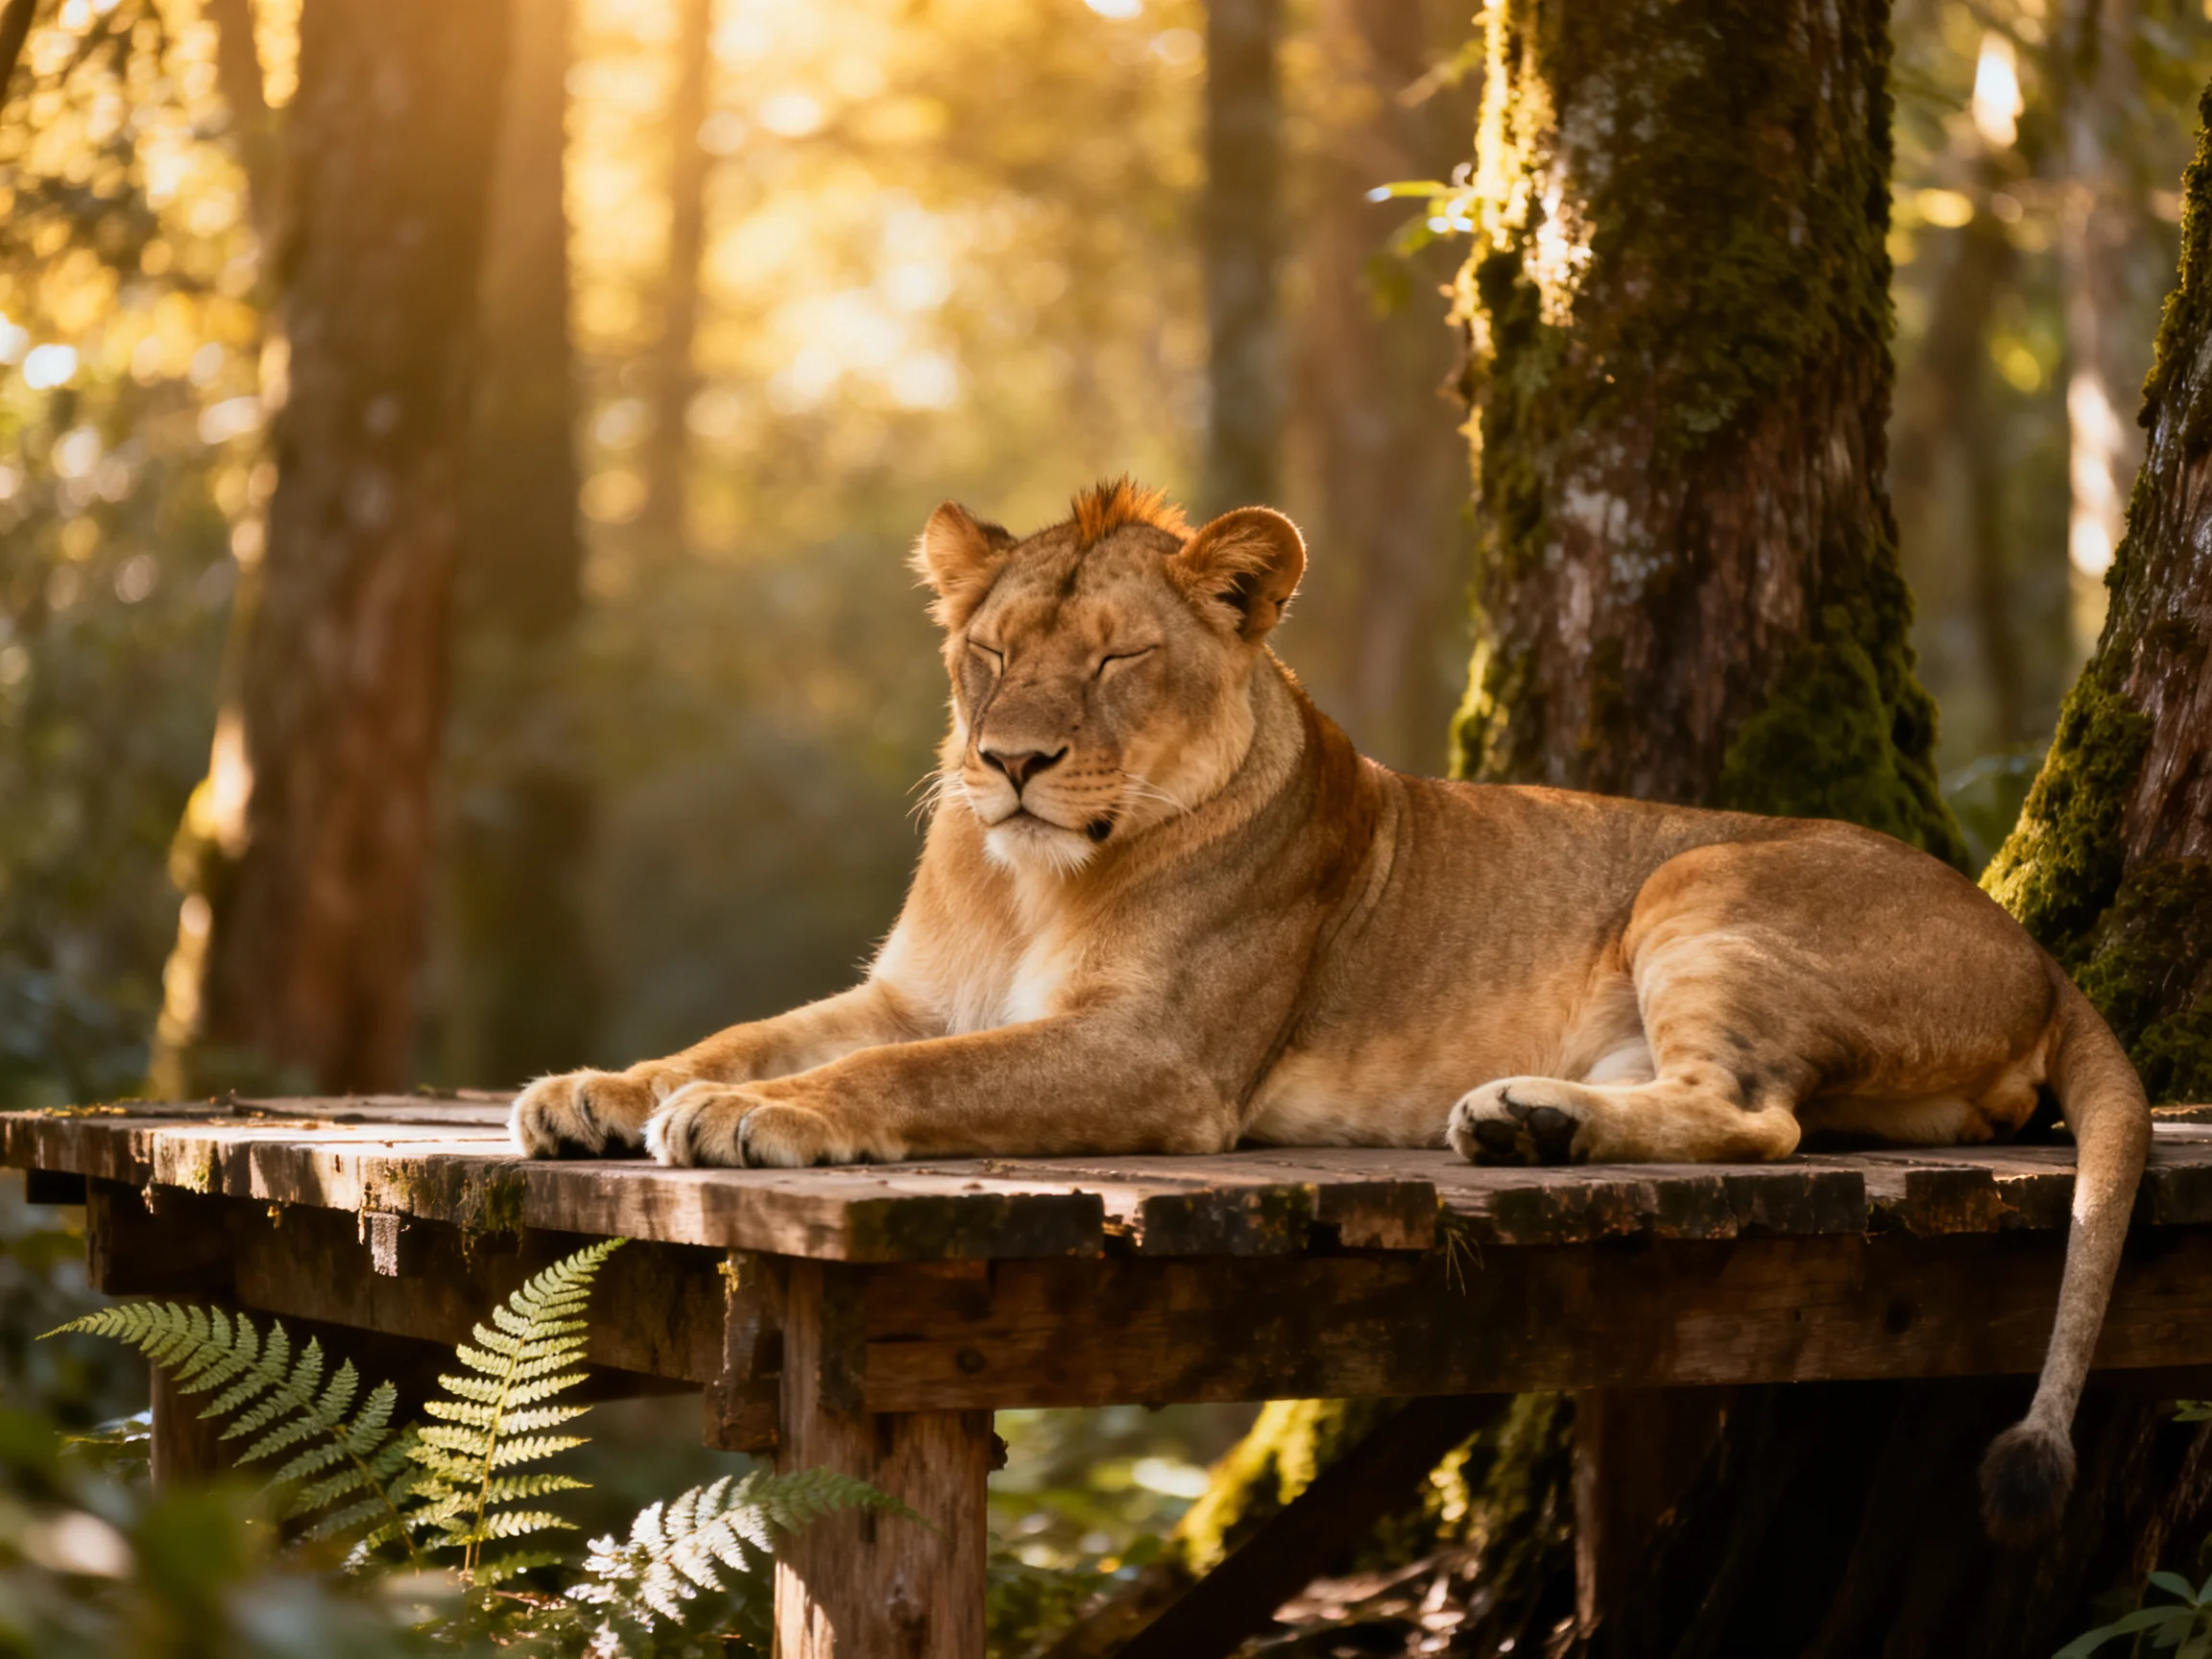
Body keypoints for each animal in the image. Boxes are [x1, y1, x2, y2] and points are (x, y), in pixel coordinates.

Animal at [512, 478, 2150, 1542]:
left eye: (1117, 658)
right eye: (990, 652)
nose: (1011, 762)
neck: (1028, 879)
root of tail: (2032, 941)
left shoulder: (1164, 1062)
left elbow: (920, 1078)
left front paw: (754, 1117)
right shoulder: (907, 991)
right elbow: (753, 1033)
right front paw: (599, 1089)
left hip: (1700, 876)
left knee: (1758, 1121)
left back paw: (1525, 1126)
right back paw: (1528, 1120)